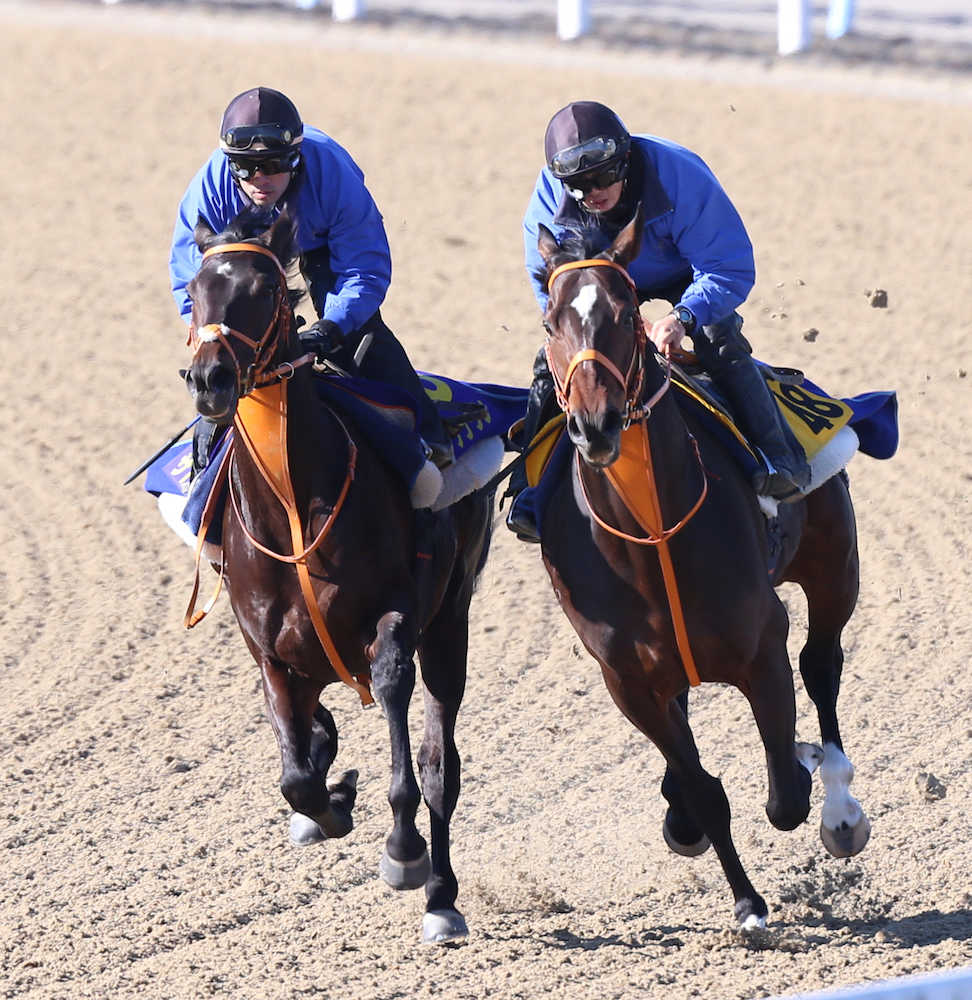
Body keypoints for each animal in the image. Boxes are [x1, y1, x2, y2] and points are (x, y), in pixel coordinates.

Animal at [182, 211, 494, 944]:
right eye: (196, 288)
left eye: (265, 287)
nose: (210, 378)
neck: (293, 510)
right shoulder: (268, 650)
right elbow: (296, 775)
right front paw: (331, 799)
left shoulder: (396, 620)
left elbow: (399, 725)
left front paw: (401, 850)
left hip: (451, 624)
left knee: (440, 765)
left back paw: (440, 897)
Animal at [536, 207, 868, 932]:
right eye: (551, 321)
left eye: (625, 313)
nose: (595, 425)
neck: (649, 539)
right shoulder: (629, 683)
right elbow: (701, 788)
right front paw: (746, 903)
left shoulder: (761, 648)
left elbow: (783, 794)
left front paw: (807, 773)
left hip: (834, 562)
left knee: (822, 666)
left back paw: (840, 806)